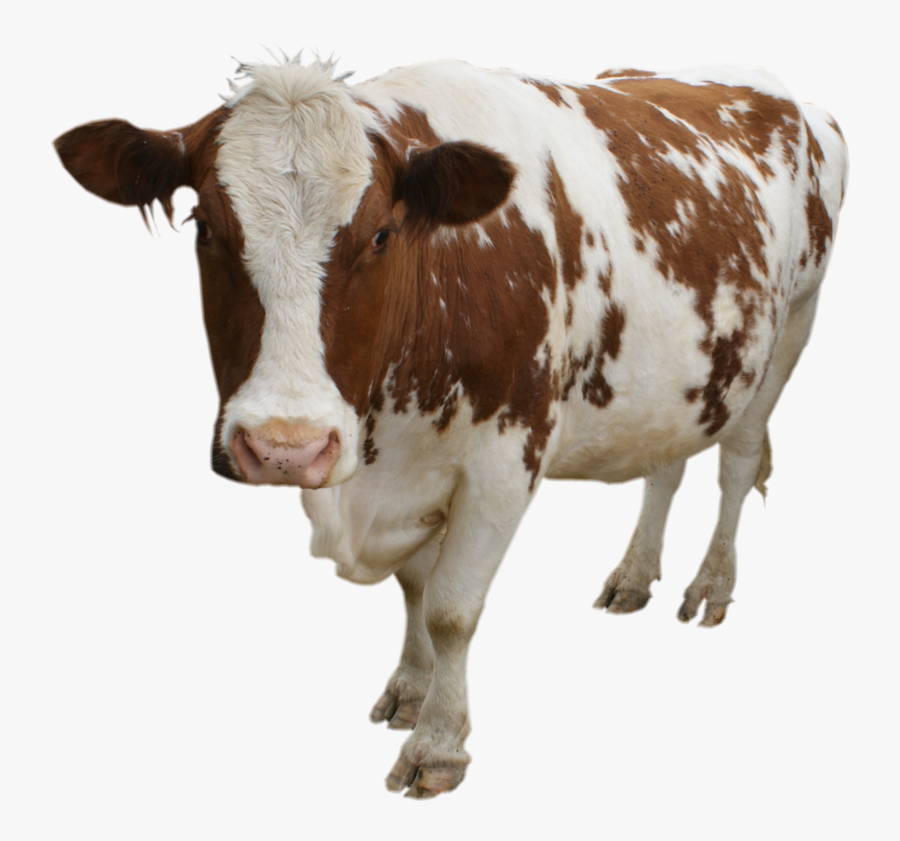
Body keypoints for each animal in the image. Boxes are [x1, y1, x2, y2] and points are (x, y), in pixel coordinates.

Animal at [55, 56, 848, 798]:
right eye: (205, 228)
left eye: (381, 233)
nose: (285, 447)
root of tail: (794, 101)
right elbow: (414, 586)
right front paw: (410, 689)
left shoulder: (504, 461)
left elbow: (451, 609)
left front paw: (438, 744)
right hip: (680, 376)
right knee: (667, 466)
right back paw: (633, 573)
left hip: (791, 330)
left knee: (737, 464)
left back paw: (711, 583)